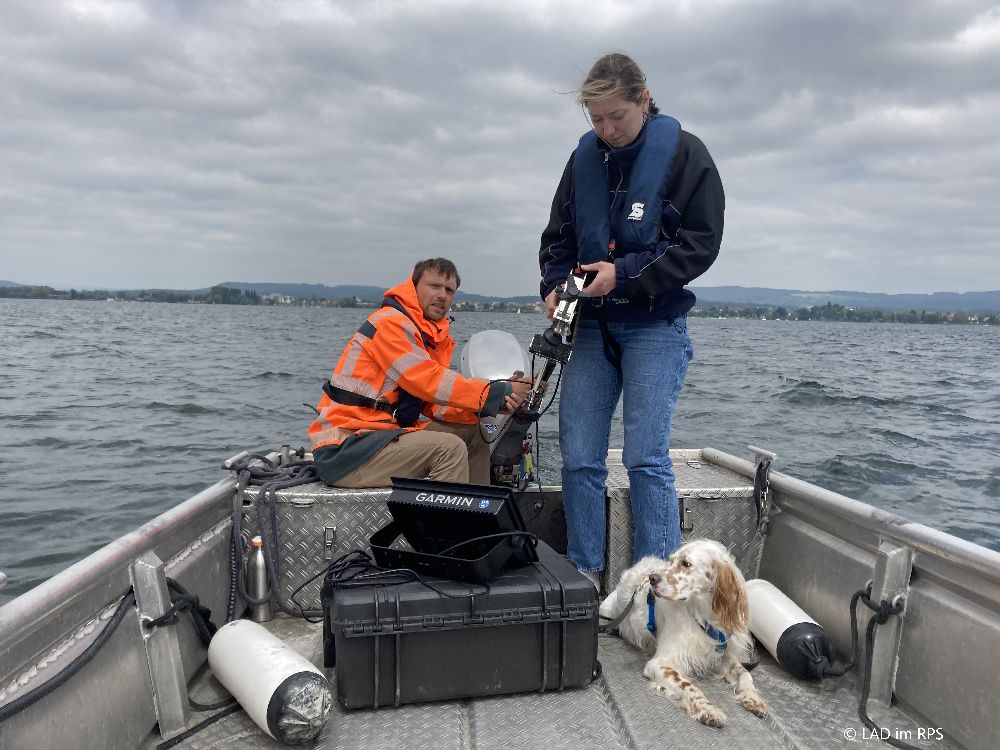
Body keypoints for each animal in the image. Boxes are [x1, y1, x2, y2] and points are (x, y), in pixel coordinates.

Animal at [600, 540, 764, 728]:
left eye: (685, 563)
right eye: (671, 561)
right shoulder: (659, 663)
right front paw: (708, 709)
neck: (704, 615)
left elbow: (745, 673)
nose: (652, 578)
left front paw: (753, 698)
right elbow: (687, 685)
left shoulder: (725, 654)